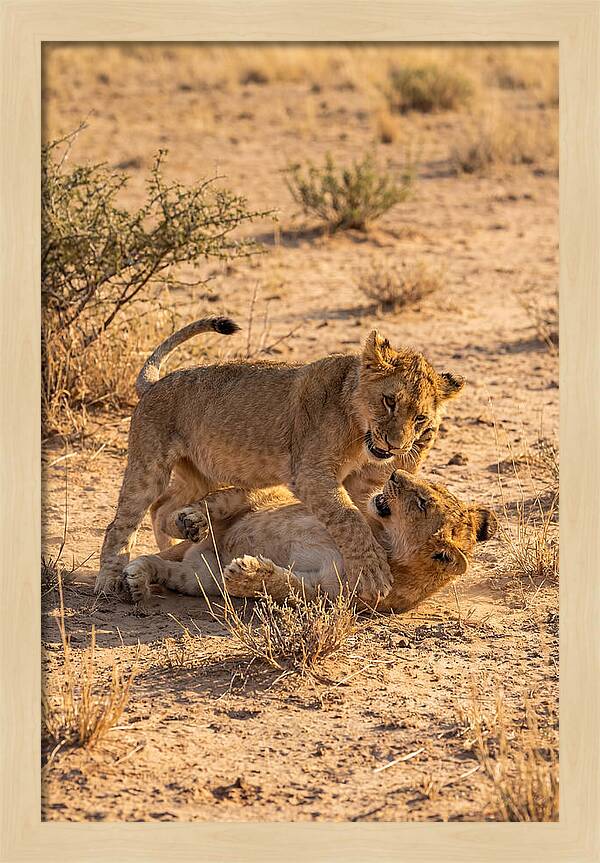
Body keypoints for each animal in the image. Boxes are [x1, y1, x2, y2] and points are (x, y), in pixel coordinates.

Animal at [96, 317, 464, 602]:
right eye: (389, 401)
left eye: (420, 418)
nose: (396, 445)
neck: (358, 430)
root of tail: (155, 383)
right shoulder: (312, 474)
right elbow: (349, 519)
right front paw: (373, 572)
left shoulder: (362, 483)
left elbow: (364, 511)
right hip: (149, 465)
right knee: (122, 523)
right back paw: (111, 581)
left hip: (201, 473)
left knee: (163, 508)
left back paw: (182, 535)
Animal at [121, 469, 497, 612]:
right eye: (427, 487)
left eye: (421, 502)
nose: (393, 474)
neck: (382, 539)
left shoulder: (326, 593)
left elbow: (285, 586)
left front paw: (247, 573)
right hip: (255, 497)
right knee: (218, 501)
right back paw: (190, 521)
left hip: (200, 577)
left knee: (164, 567)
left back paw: (137, 580)